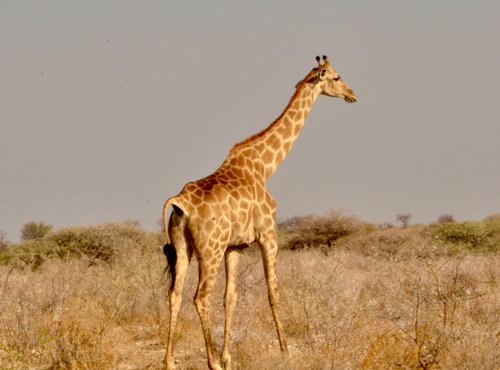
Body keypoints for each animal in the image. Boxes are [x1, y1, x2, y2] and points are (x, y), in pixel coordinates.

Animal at [163, 53, 356, 368]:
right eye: (336, 77)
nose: (353, 95)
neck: (265, 166)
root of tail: (180, 203)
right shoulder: (268, 234)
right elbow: (273, 292)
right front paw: (285, 350)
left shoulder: (235, 247)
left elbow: (231, 297)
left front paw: (229, 357)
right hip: (209, 249)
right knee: (200, 297)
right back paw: (211, 362)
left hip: (183, 248)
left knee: (175, 294)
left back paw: (169, 361)